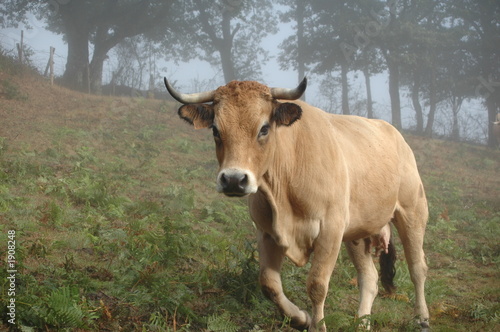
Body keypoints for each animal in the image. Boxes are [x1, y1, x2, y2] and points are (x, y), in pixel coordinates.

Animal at [164, 78, 430, 332]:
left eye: (264, 128)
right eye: (216, 130)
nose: (233, 179)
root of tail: (392, 132)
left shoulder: (330, 231)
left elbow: (317, 284)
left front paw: (317, 326)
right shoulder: (267, 232)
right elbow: (269, 284)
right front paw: (300, 318)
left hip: (412, 212)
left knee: (417, 268)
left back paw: (422, 319)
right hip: (358, 232)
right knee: (370, 277)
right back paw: (362, 323)